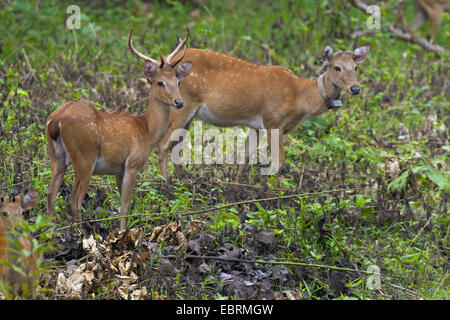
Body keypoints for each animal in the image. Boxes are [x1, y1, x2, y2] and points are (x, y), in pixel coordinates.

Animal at [45, 29, 192, 230]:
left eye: (177, 82)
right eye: (160, 82)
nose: (179, 102)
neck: (147, 130)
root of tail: (55, 120)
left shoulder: (118, 169)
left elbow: (125, 202)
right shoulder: (132, 163)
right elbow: (125, 204)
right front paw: (123, 232)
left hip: (56, 155)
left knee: (50, 193)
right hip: (84, 156)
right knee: (73, 199)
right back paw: (82, 233)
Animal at [157, 43, 370, 181]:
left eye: (356, 67)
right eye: (337, 67)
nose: (355, 88)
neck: (299, 98)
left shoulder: (256, 125)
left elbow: (246, 156)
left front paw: (237, 187)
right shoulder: (272, 121)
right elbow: (279, 163)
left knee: (176, 144)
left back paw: (183, 178)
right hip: (182, 105)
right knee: (164, 144)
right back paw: (167, 184)